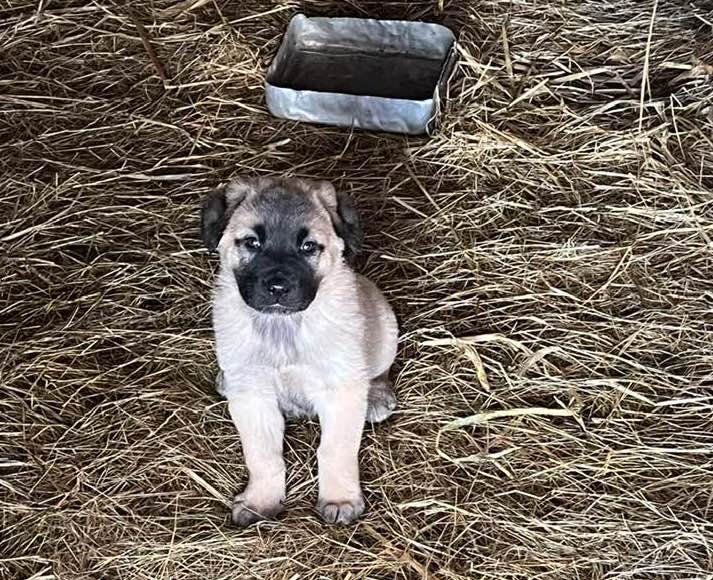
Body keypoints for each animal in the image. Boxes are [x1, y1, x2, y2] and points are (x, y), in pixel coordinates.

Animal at [200, 176, 398, 524]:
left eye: (308, 247)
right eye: (252, 243)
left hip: (384, 326)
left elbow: (335, 450)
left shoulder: (340, 392)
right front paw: (261, 501)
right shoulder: (252, 397)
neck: (284, 328)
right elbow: (262, 455)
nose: (278, 288)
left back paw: (377, 395)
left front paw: (340, 499)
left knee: (379, 369)